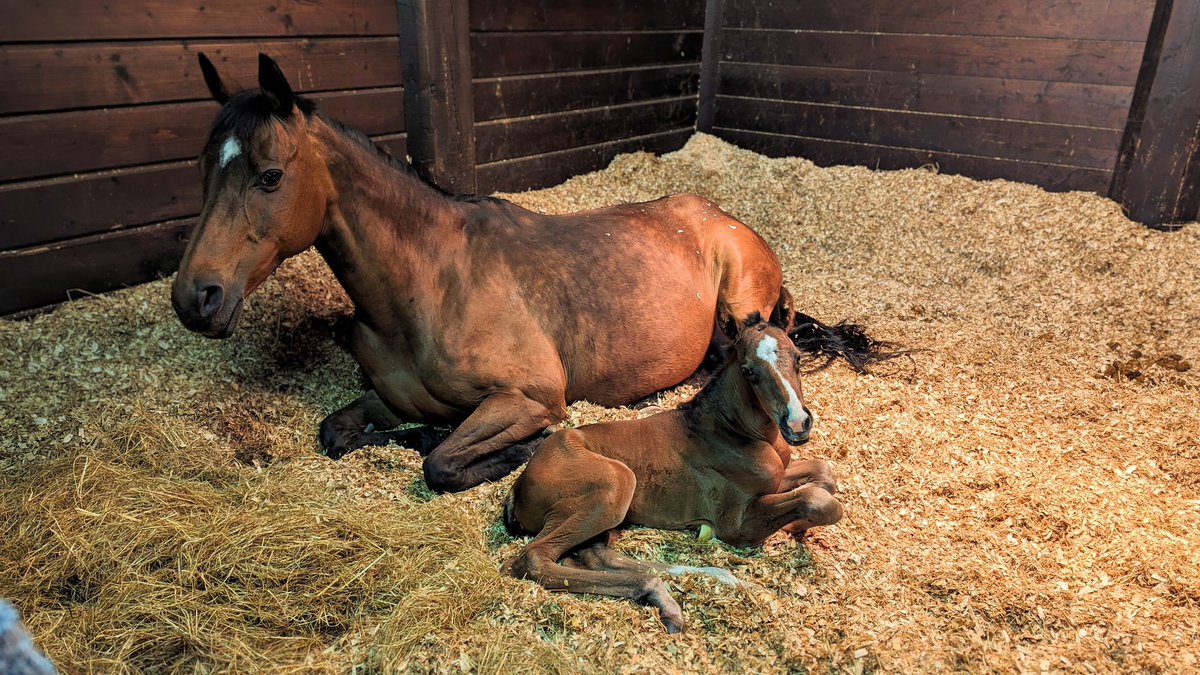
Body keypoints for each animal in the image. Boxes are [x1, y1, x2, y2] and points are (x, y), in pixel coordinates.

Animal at [504, 309, 844, 629]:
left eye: (798, 357)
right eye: (749, 372)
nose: (797, 423)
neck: (732, 431)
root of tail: (518, 483)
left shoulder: (778, 477)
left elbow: (824, 474)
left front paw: (798, 525)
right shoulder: (736, 525)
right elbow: (819, 500)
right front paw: (793, 527)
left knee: (592, 555)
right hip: (616, 483)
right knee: (535, 558)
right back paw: (662, 593)